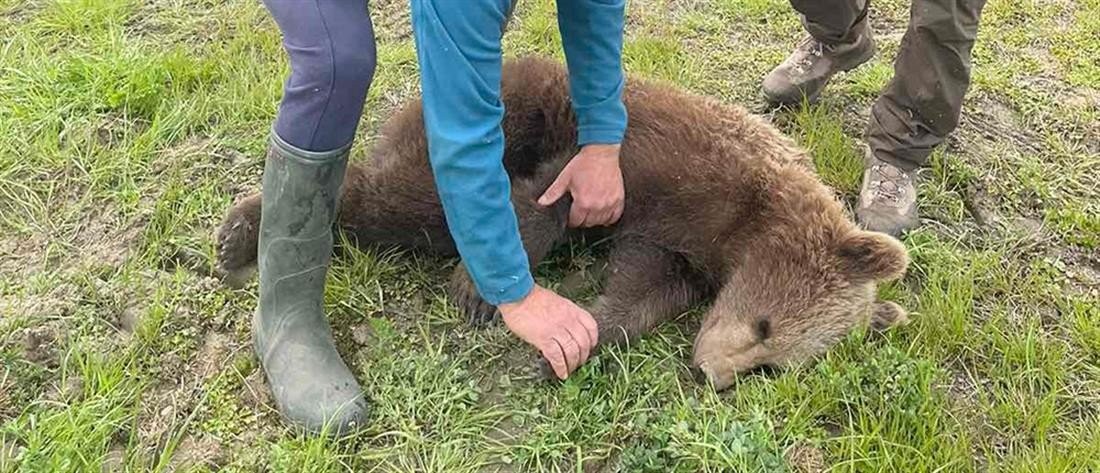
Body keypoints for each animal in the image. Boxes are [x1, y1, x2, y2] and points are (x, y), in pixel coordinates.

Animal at [216, 56, 910, 387]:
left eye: (772, 366)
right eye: (766, 327)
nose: (709, 372)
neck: (743, 223)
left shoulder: (674, 248)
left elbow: (639, 293)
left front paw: (570, 350)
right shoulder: (655, 164)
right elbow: (548, 201)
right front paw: (482, 292)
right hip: (509, 112)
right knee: (408, 199)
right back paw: (241, 231)